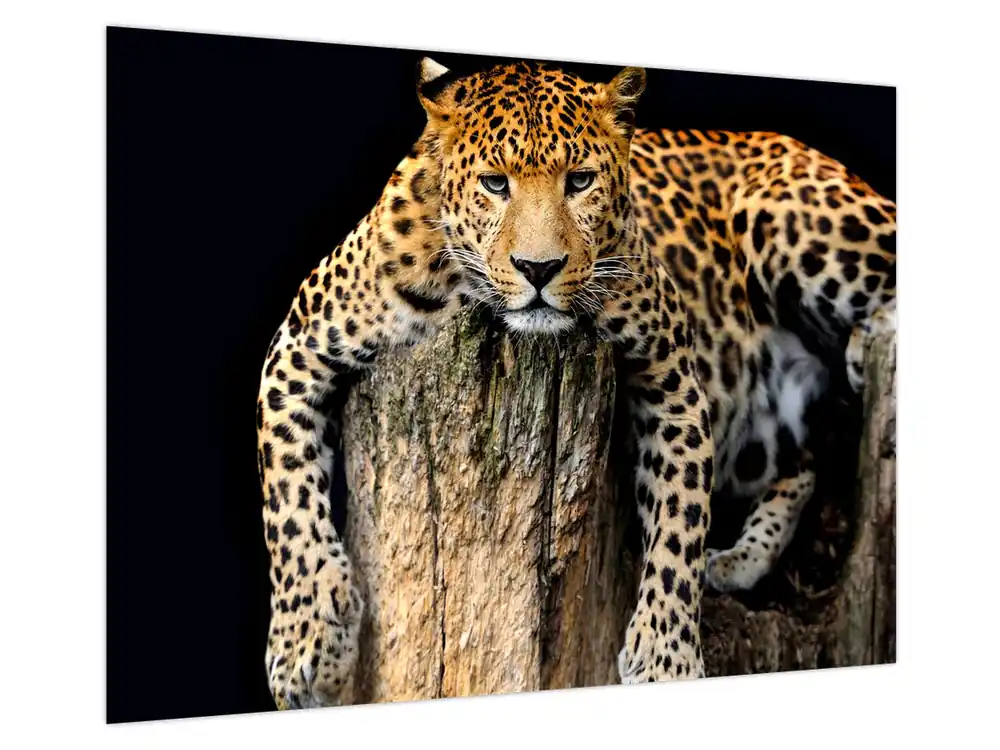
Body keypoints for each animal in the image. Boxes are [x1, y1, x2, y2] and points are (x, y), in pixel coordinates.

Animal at [256, 57, 896, 709]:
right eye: (494, 183)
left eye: (581, 180)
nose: (538, 269)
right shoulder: (298, 346)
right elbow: (287, 502)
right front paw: (305, 645)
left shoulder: (671, 367)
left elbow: (680, 518)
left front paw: (665, 657)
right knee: (805, 464)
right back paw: (740, 558)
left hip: (793, 218)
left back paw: (871, 339)